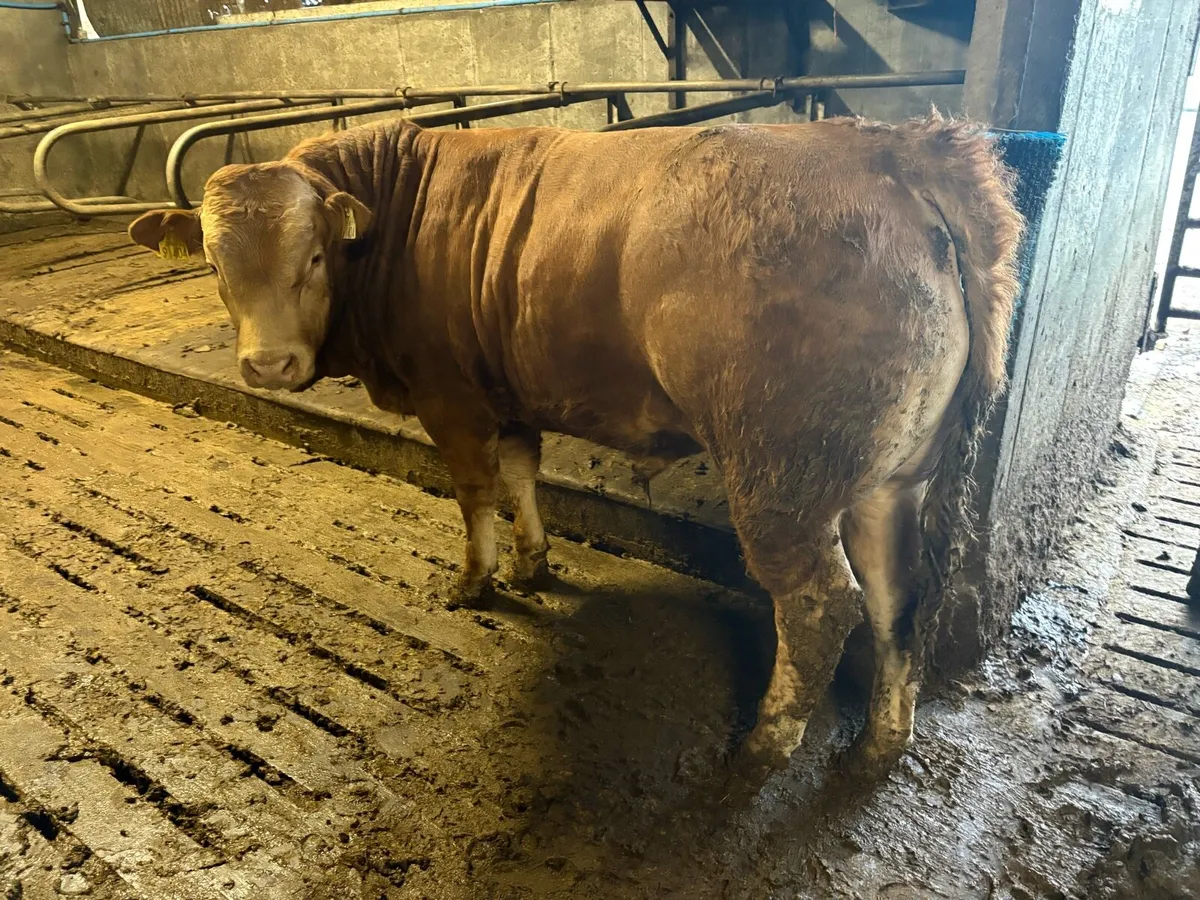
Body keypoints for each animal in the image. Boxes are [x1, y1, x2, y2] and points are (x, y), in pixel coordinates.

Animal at [128, 113, 1022, 779]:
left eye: (314, 255)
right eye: (212, 264)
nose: (268, 365)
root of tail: (887, 147)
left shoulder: (449, 398)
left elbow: (474, 490)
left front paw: (477, 581)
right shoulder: (510, 391)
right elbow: (523, 473)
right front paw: (534, 562)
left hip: (782, 478)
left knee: (818, 604)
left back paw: (761, 748)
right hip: (892, 476)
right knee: (897, 595)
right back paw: (880, 745)